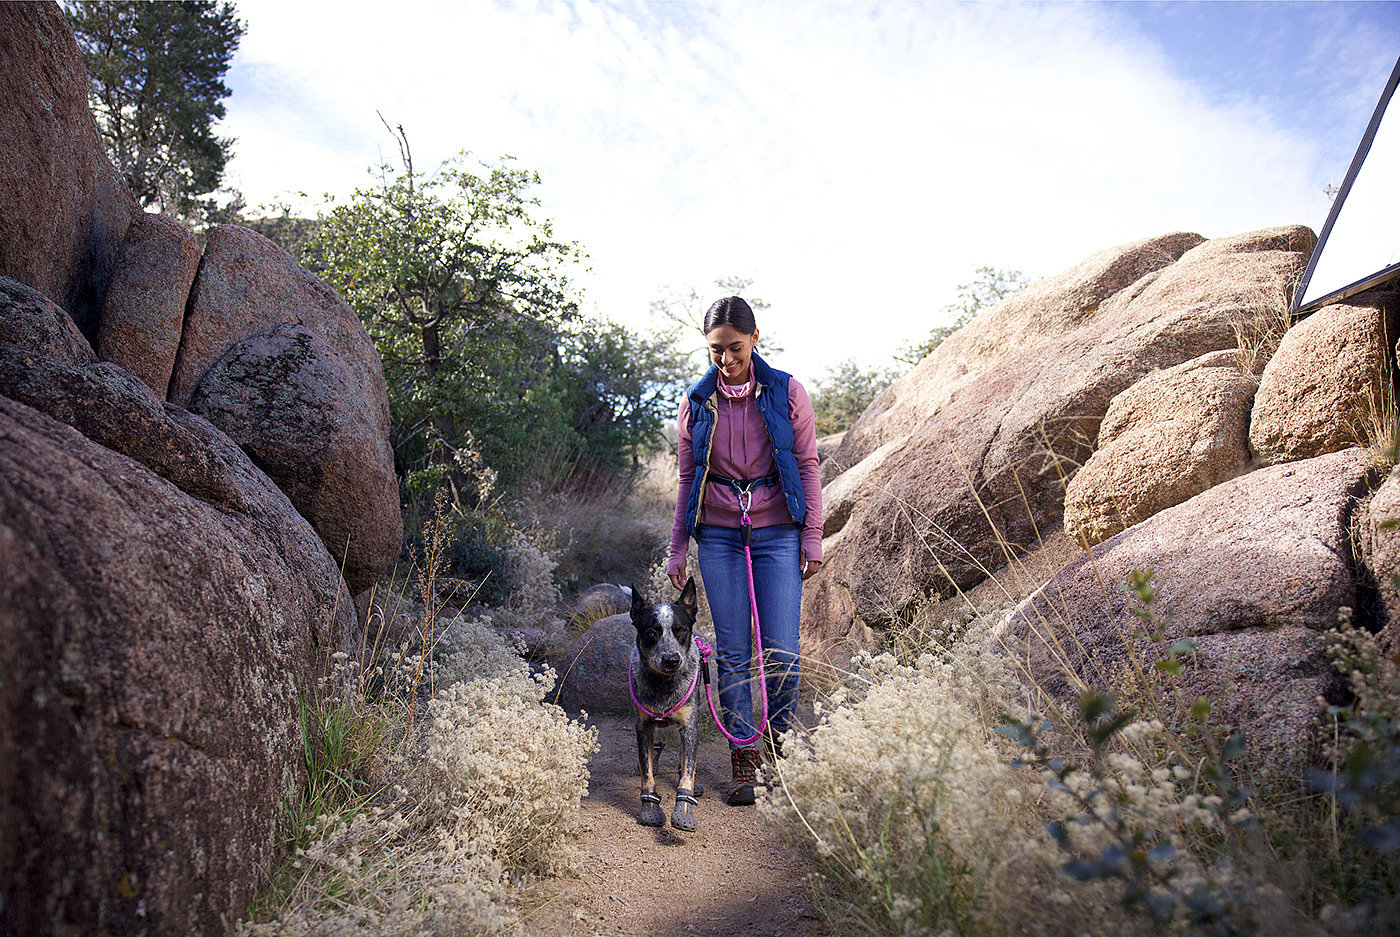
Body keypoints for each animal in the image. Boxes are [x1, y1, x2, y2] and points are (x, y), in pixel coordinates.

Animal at [632, 577, 705, 834]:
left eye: (681, 630)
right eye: (652, 632)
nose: (672, 659)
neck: (663, 685)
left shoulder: (690, 727)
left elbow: (688, 772)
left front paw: (684, 809)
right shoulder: (643, 726)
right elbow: (646, 771)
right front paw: (650, 807)